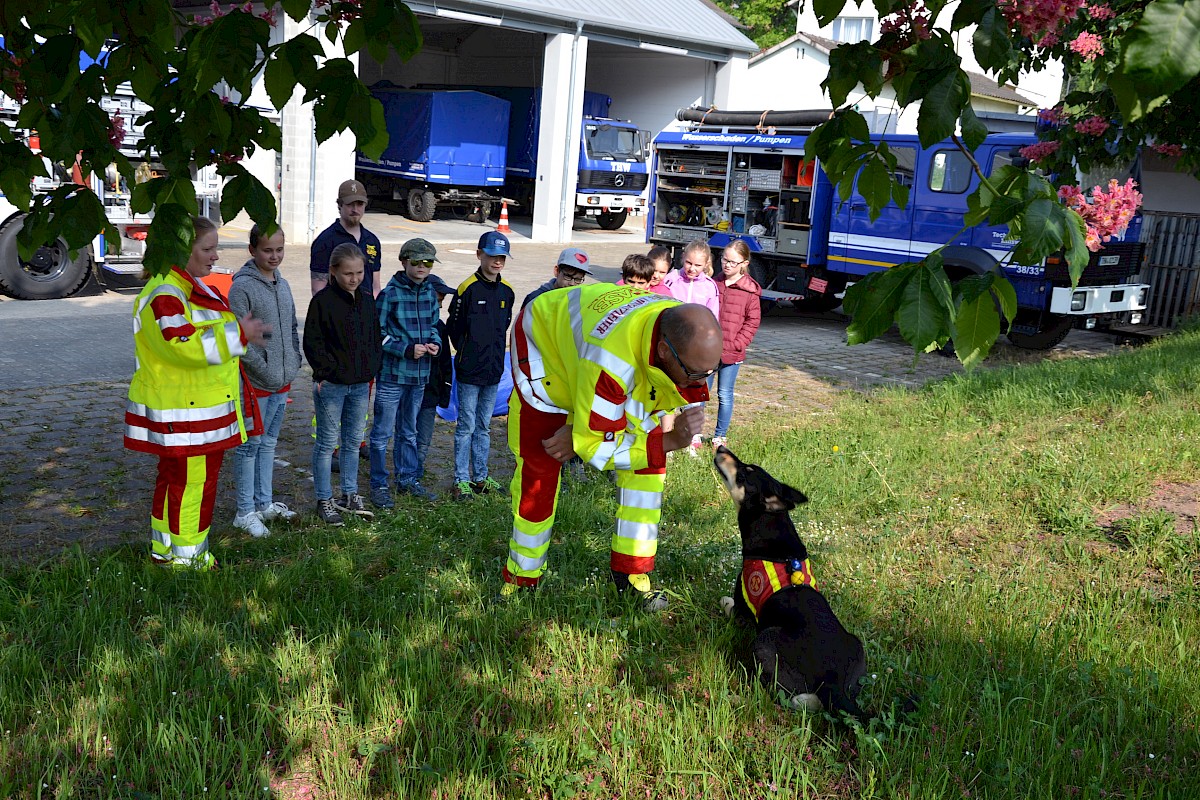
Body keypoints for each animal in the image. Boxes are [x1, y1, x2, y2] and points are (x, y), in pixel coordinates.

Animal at [705, 448, 868, 724]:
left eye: (745, 473)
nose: (721, 449)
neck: (771, 522)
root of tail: (832, 683)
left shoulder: (743, 608)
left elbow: (730, 605)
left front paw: (723, 601)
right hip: (857, 648)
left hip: (764, 639)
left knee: (783, 695)